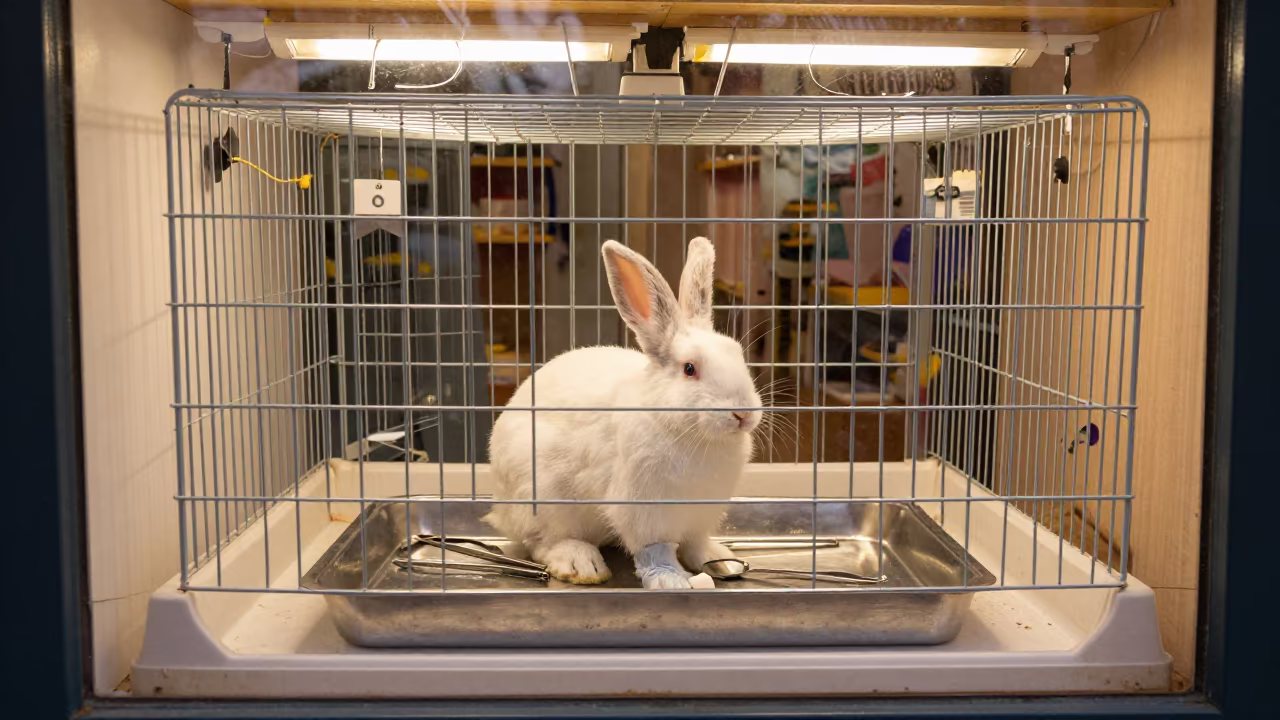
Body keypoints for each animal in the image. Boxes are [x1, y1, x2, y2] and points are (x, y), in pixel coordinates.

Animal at [485, 236, 764, 589]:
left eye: (738, 354)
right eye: (689, 369)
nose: (743, 414)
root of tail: (500, 505)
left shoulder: (700, 514)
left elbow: (696, 543)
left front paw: (719, 561)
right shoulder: (643, 510)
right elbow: (655, 550)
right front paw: (670, 579)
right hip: (541, 501)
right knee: (543, 542)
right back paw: (581, 564)